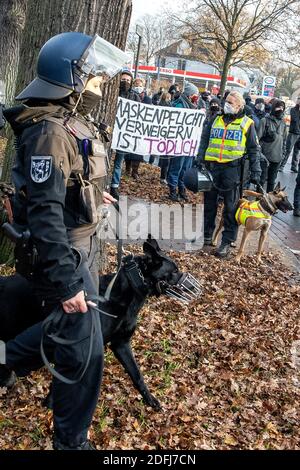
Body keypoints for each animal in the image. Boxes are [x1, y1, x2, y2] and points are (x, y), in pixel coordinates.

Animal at [0, 237, 183, 410]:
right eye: (174, 271)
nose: (185, 277)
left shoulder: (121, 344)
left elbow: (137, 374)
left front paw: (150, 399)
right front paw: (51, 403)